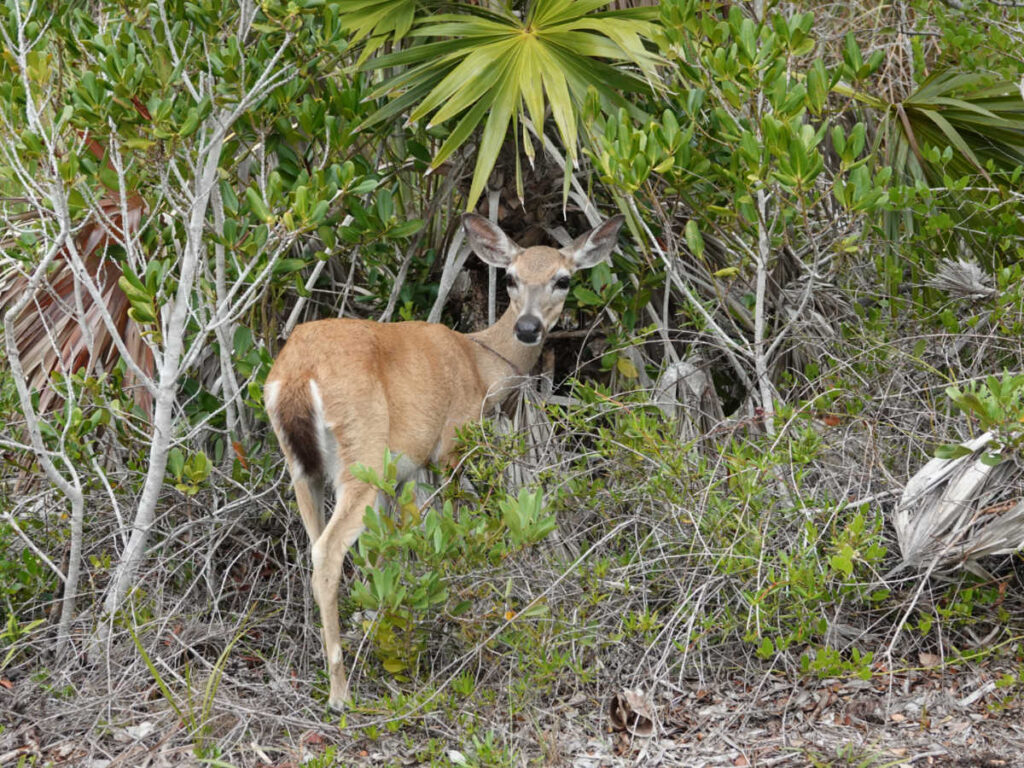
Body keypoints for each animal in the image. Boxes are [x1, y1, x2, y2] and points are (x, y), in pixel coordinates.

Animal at [264, 212, 624, 709]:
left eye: (563, 279)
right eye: (510, 278)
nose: (528, 327)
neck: (482, 366)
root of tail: (298, 375)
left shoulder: (407, 469)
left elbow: (395, 545)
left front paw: (392, 616)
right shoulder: (450, 443)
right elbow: (452, 527)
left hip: (304, 467)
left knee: (314, 545)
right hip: (363, 456)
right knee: (328, 550)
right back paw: (341, 692)